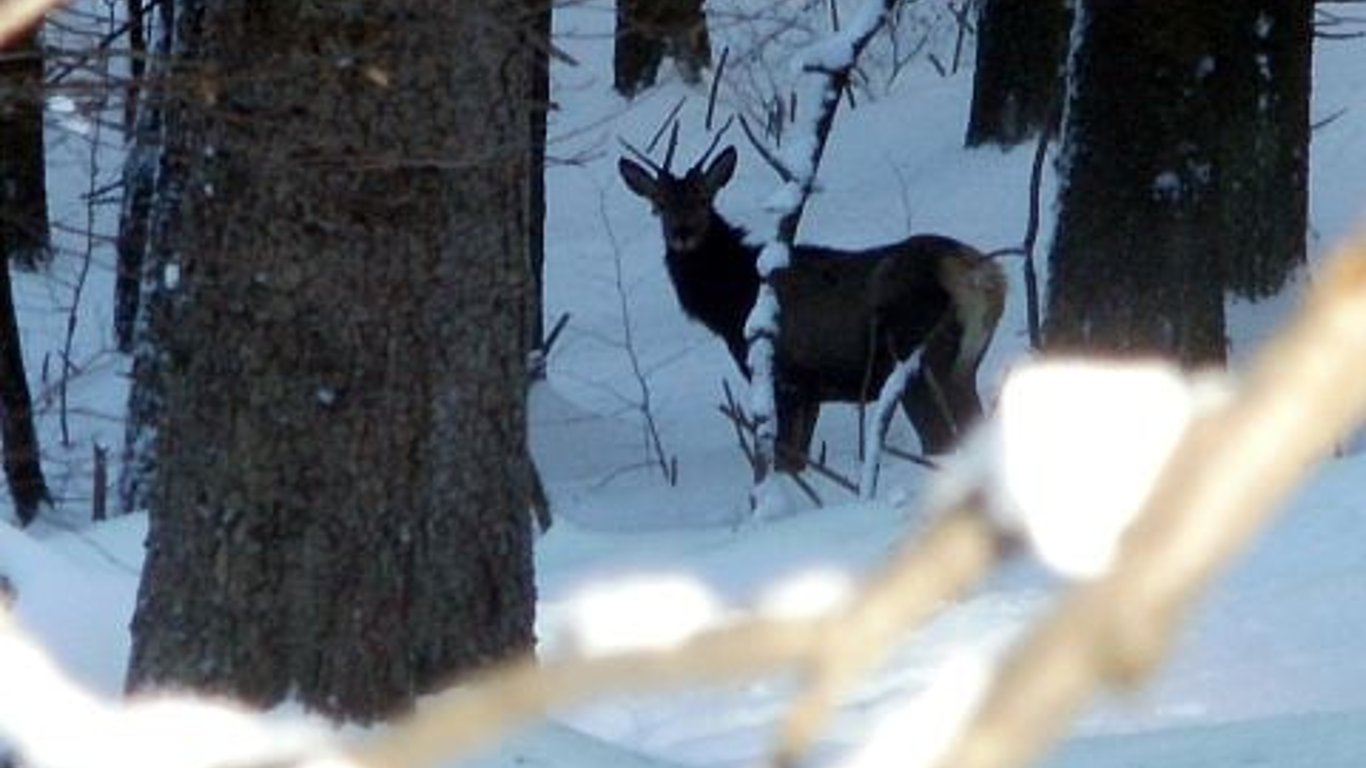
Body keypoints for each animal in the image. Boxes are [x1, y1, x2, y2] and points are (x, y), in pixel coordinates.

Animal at [620, 140, 1005, 470]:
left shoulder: (785, 376)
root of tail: (982, 275)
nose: (682, 232)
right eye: (659, 204)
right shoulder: (812, 390)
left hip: (918, 362)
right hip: (964, 366)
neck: (733, 303)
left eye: (703, 198)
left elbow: (785, 463)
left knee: (938, 441)